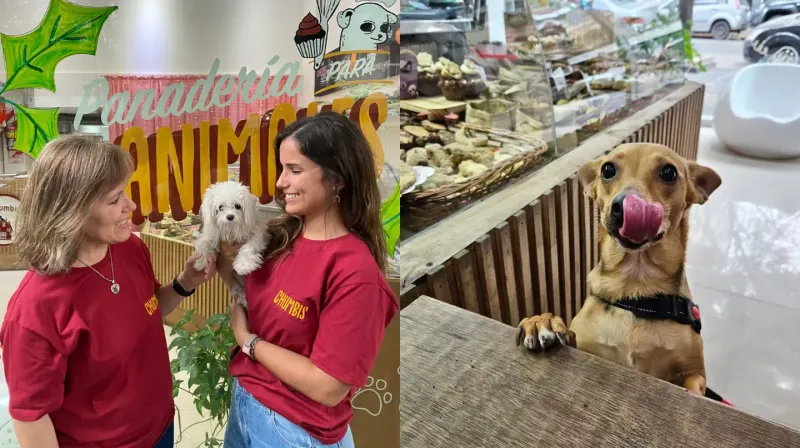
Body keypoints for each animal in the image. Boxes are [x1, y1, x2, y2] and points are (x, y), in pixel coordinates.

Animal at [516, 143, 720, 396]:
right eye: (608, 169)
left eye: (669, 172)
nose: (624, 206)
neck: (635, 286)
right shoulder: (585, 347)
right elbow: (569, 336)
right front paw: (543, 322)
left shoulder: (695, 373)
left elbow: (693, 386)